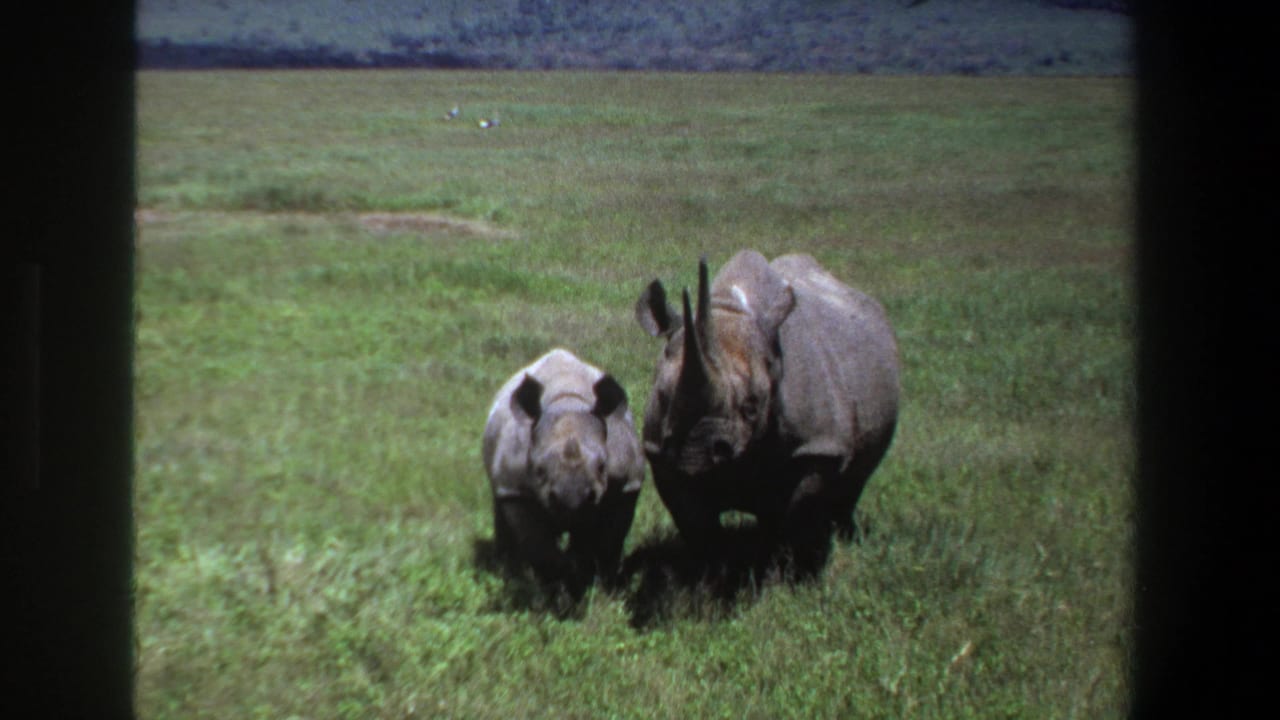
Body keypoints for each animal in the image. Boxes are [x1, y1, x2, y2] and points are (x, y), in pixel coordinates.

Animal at [482, 348, 644, 592]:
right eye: (539, 470)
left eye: (602, 467)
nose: (572, 500)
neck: (568, 401)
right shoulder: (515, 489)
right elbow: (538, 546)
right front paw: (559, 584)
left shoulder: (626, 487)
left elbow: (608, 542)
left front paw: (597, 583)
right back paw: (507, 570)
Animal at [635, 250, 899, 572]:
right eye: (663, 397)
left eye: (752, 406)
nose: (696, 453)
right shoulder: (661, 454)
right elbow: (697, 525)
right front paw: (714, 573)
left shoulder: (819, 447)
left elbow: (799, 511)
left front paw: (792, 571)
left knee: (854, 482)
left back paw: (845, 537)